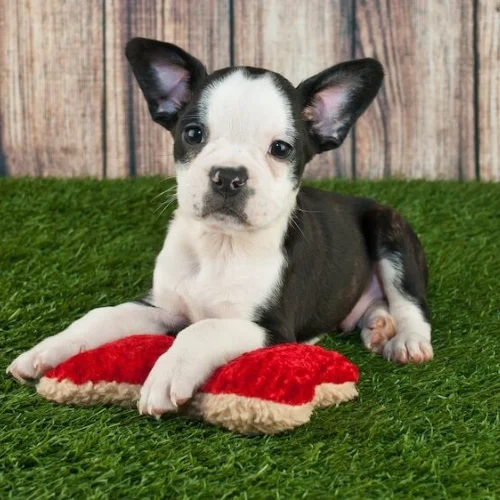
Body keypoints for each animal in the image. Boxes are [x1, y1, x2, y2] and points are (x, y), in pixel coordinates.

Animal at [6, 38, 434, 414]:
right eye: (193, 134)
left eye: (281, 149)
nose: (228, 175)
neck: (220, 246)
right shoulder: (162, 306)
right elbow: (102, 316)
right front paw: (47, 350)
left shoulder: (272, 329)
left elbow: (203, 330)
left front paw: (166, 375)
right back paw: (377, 323)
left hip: (389, 230)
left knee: (409, 300)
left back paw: (406, 339)